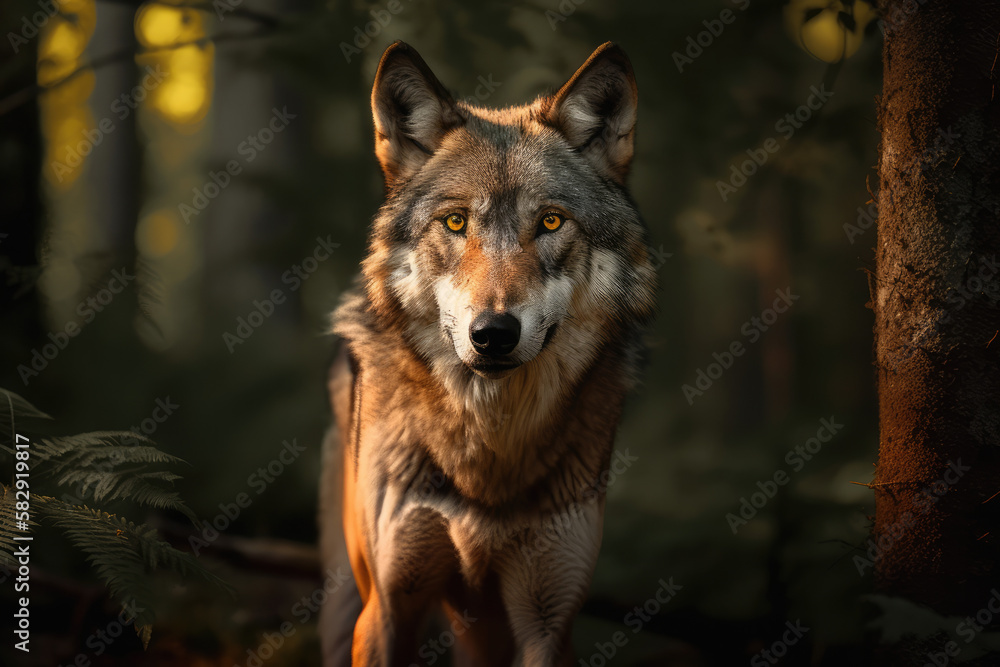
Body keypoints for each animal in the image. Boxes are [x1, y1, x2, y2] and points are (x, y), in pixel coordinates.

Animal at [318, 40, 657, 666]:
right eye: (455, 222)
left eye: (551, 220)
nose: (494, 332)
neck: (488, 452)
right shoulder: (388, 608)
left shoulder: (548, 620)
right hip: (347, 600)